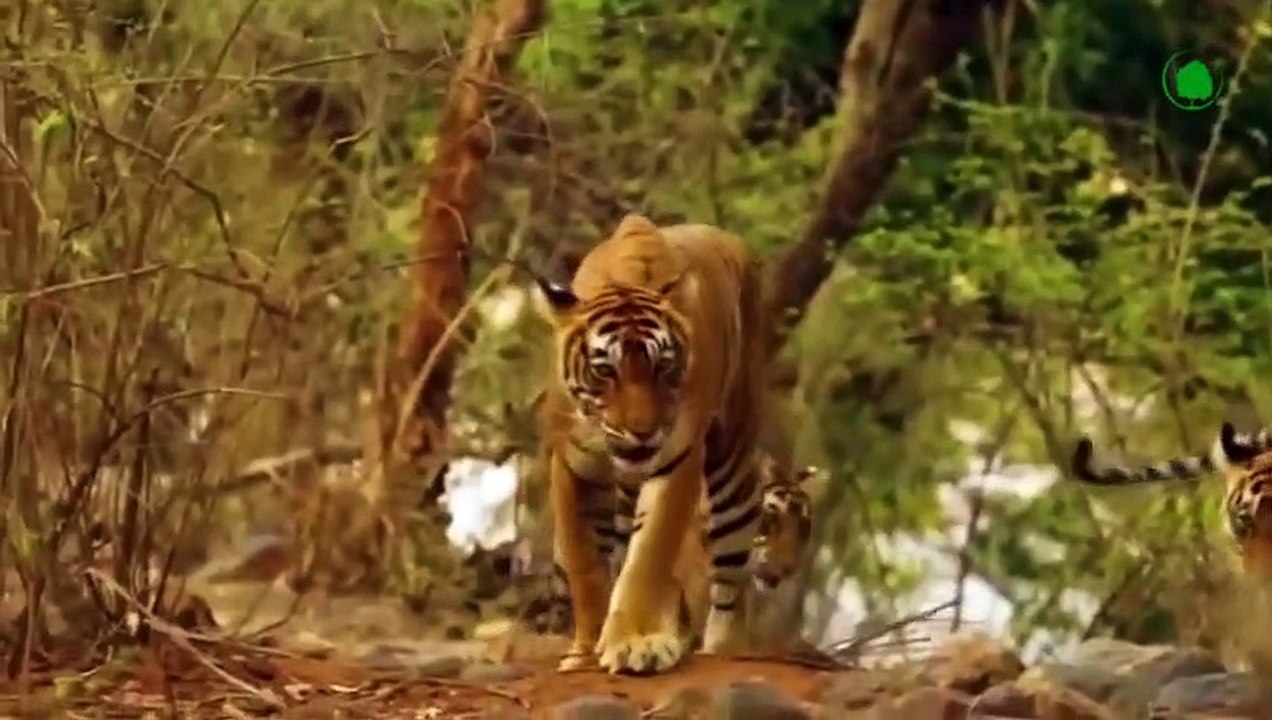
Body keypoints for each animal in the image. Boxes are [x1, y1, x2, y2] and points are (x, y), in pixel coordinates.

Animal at [534, 213, 770, 675]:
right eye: (604, 370)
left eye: (662, 367)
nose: (642, 431)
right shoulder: (573, 465)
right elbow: (586, 564)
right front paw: (585, 649)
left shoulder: (678, 459)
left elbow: (649, 554)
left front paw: (635, 644)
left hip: (732, 463)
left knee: (730, 578)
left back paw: (721, 647)